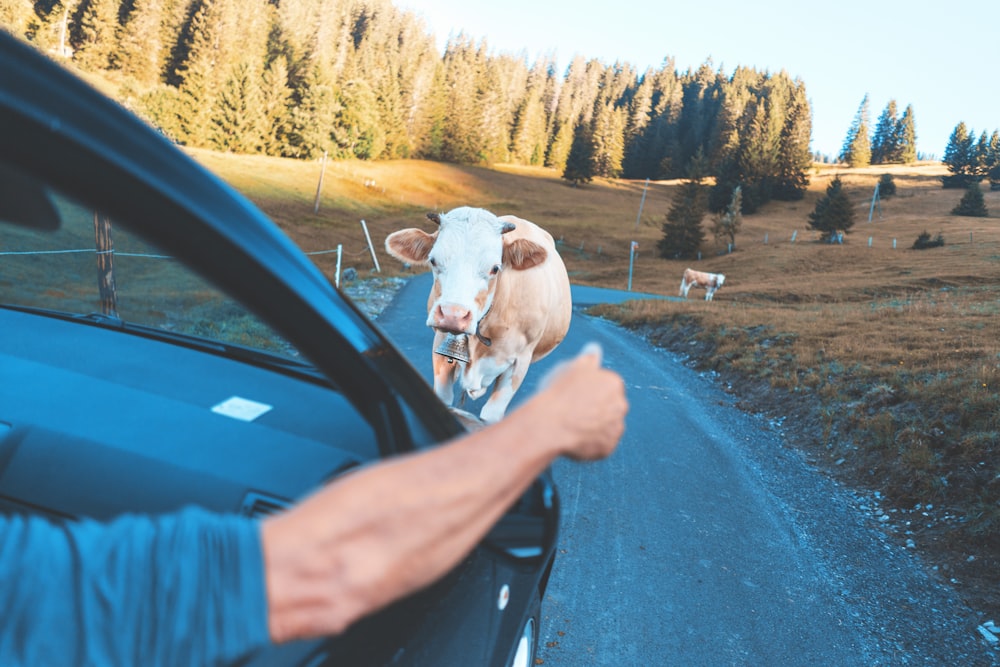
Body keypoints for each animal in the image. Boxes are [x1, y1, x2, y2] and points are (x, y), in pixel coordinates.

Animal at [382, 207, 572, 422]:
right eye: (433, 260)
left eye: (495, 268)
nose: (453, 315)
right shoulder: (440, 346)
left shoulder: (520, 362)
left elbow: (490, 415)